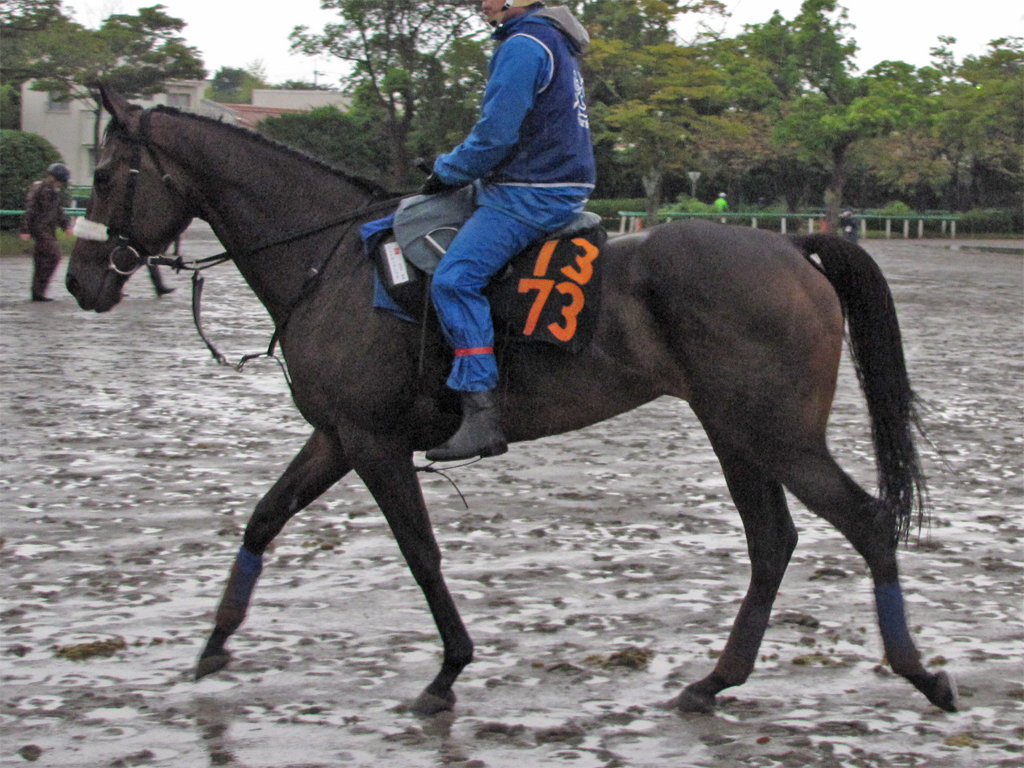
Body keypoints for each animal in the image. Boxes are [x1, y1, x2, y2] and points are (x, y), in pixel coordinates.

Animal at [66, 87, 958, 720]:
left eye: (104, 177)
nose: (79, 280)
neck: (332, 263)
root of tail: (789, 245)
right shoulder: (336, 436)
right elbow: (262, 519)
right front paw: (214, 642)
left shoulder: (372, 442)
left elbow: (420, 553)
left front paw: (448, 670)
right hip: (735, 432)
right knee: (773, 543)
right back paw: (716, 680)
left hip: (774, 433)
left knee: (864, 522)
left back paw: (916, 671)